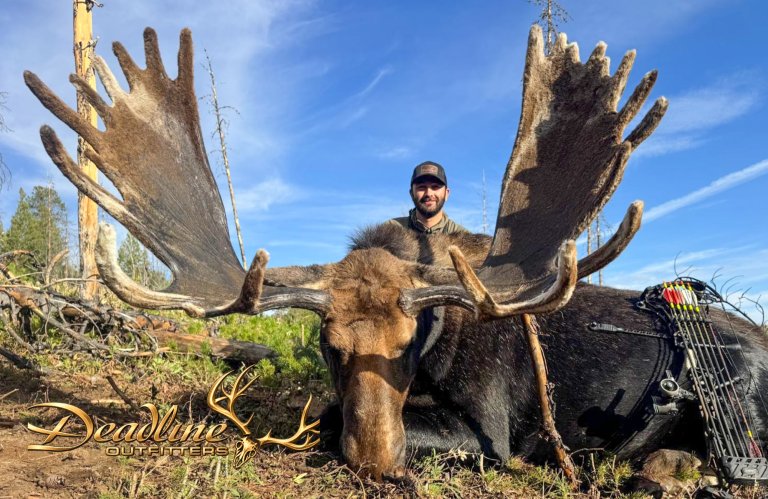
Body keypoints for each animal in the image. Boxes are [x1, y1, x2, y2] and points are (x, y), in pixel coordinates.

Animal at [24, 25, 768, 484]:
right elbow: (326, 412)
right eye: (328, 345)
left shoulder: (490, 430)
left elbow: (336, 421)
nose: (380, 462)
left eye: (411, 342)